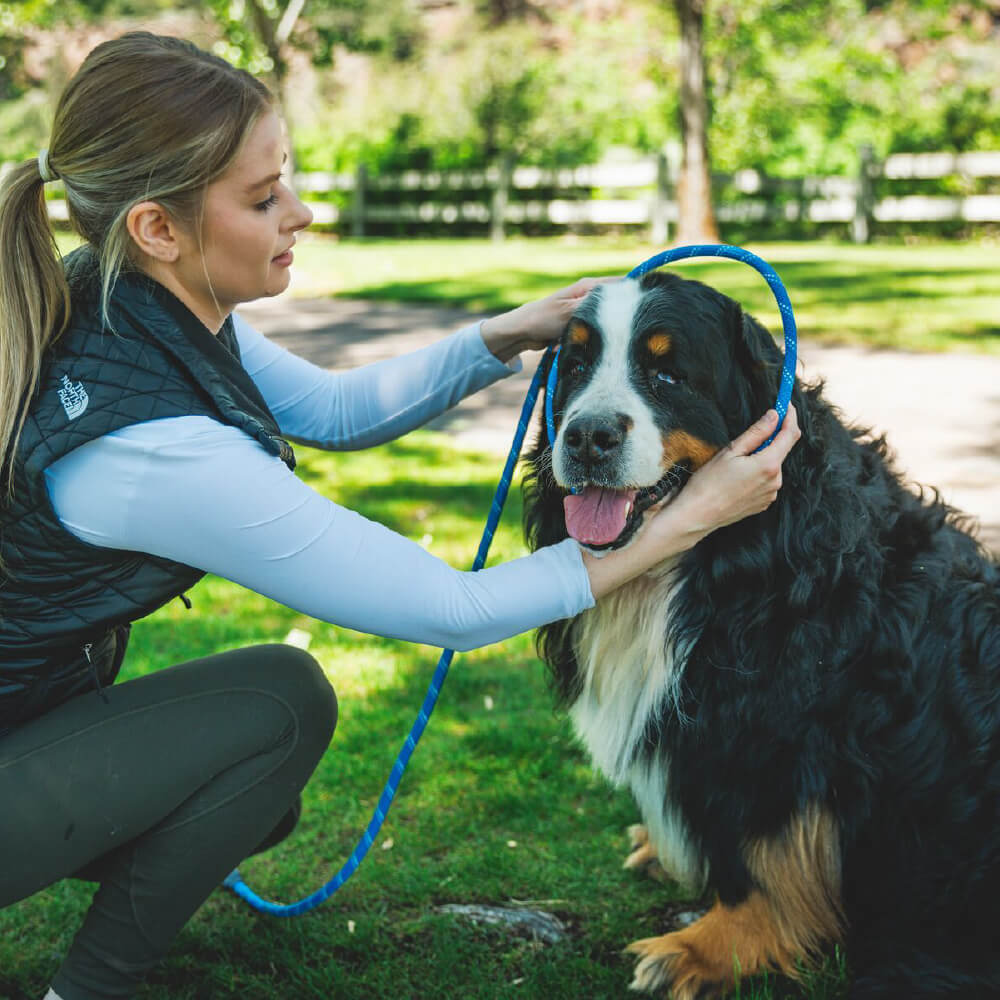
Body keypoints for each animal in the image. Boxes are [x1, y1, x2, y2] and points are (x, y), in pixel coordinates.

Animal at [520, 270, 1000, 996]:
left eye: (667, 374)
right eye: (574, 366)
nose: (587, 436)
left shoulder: (783, 729)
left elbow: (763, 853)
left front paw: (707, 947)